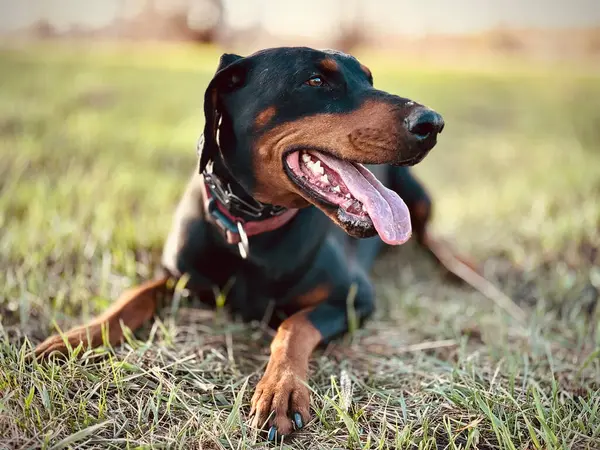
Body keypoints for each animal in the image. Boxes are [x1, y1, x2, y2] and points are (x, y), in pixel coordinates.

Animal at [36, 47, 474, 442]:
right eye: (316, 80)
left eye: (369, 79)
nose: (432, 123)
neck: (250, 224)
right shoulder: (179, 276)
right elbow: (132, 297)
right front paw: (74, 338)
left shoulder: (354, 297)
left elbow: (292, 326)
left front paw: (281, 390)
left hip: (416, 196)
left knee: (429, 234)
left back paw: (461, 267)